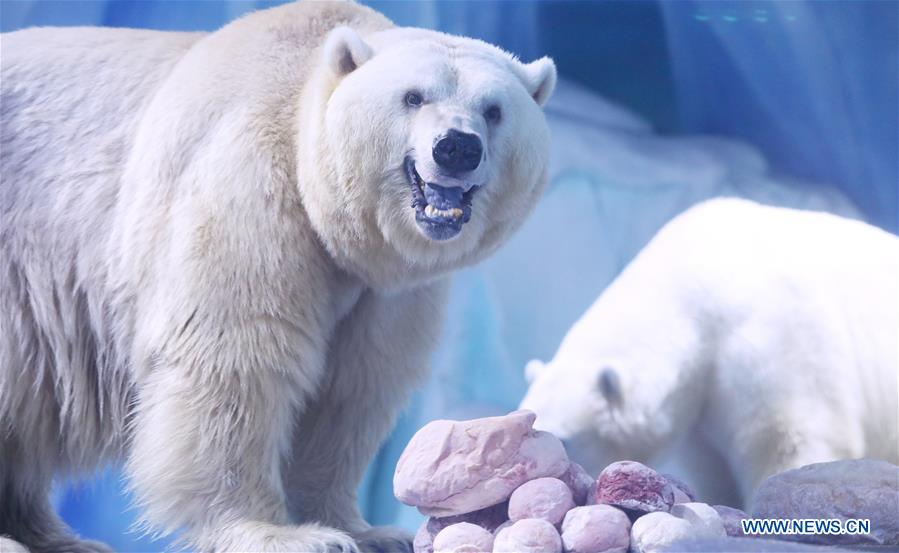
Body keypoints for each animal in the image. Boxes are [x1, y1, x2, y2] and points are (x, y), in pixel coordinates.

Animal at [0, 2, 557, 552]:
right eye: (413, 96)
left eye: (494, 110)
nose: (456, 147)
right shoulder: (250, 183)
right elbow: (236, 358)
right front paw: (282, 534)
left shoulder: (386, 291)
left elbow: (352, 386)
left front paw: (367, 531)